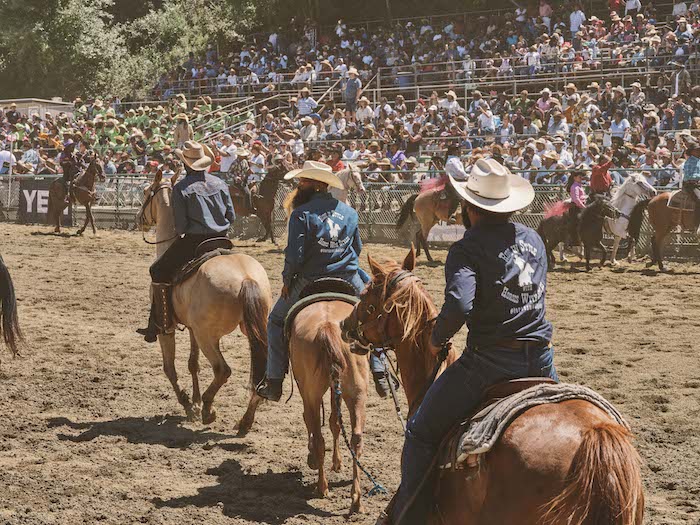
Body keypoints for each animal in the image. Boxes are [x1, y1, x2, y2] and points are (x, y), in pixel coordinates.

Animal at [137, 170, 270, 432]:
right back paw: (244, 421)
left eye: (146, 191)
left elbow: (170, 368)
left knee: (222, 370)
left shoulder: (168, 329)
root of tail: (246, 278)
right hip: (250, 330)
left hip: (208, 336)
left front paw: (190, 405)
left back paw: (210, 410)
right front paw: (195, 402)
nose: (139, 219)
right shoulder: (191, 329)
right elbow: (193, 364)